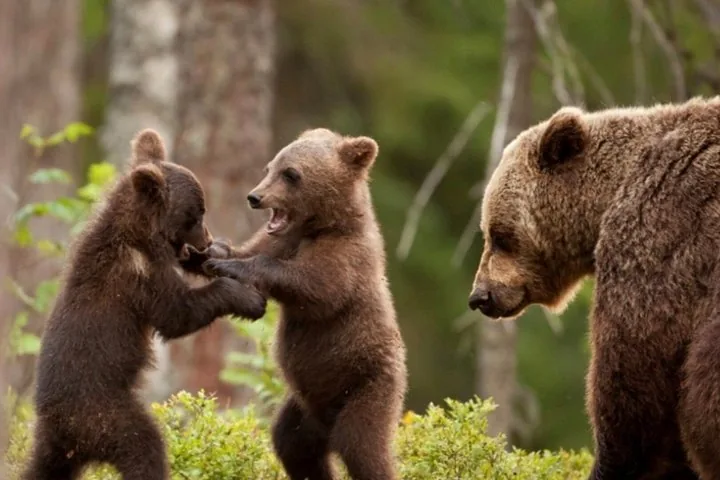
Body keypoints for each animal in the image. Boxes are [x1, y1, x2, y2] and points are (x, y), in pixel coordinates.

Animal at [22, 129, 267, 480]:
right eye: (197, 214)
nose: (206, 239)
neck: (142, 235)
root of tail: (63, 428)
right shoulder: (137, 278)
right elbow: (177, 313)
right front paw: (249, 298)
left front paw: (218, 256)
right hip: (105, 416)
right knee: (144, 445)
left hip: (53, 446)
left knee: (40, 468)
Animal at [198, 128, 408, 480]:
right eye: (270, 167)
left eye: (291, 174)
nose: (255, 197)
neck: (321, 226)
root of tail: (326, 422)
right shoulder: (281, 239)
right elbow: (253, 249)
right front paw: (214, 251)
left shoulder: (346, 258)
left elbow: (315, 289)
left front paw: (234, 266)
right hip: (303, 408)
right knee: (292, 444)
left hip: (368, 387)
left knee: (363, 447)